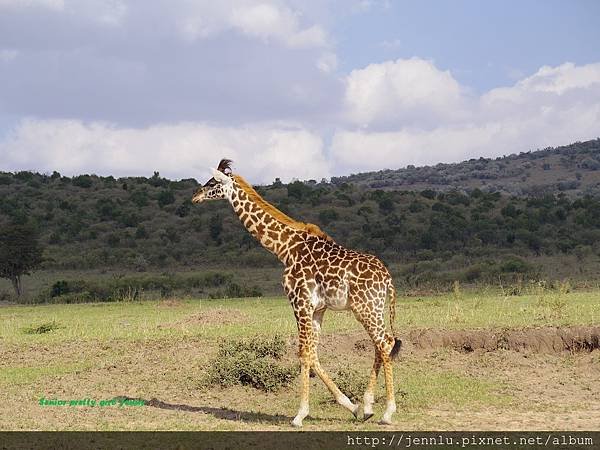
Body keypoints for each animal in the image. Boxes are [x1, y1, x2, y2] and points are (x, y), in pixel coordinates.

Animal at [192, 160, 400, 428]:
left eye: (212, 183)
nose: (195, 197)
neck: (284, 248)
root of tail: (387, 278)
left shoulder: (299, 302)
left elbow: (303, 352)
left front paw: (300, 415)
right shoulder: (317, 308)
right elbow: (313, 352)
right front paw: (353, 407)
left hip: (366, 308)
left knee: (385, 342)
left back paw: (387, 412)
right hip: (373, 308)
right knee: (381, 343)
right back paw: (367, 405)